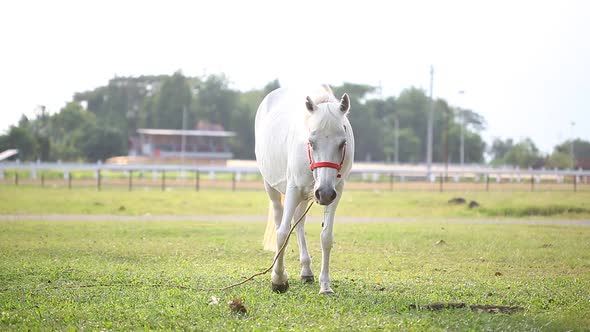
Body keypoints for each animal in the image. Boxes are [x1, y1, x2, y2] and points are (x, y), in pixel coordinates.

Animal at [256, 84, 356, 294]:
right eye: (311, 142)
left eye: (342, 143)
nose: (324, 193)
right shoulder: (293, 188)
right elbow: (282, 233)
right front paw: (278, 280)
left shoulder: (336, 191)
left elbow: (326, 237)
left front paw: (325, 285)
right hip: (272, 188)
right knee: (279, 220)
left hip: (306, 195)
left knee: (299, 223)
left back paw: (306, 271)